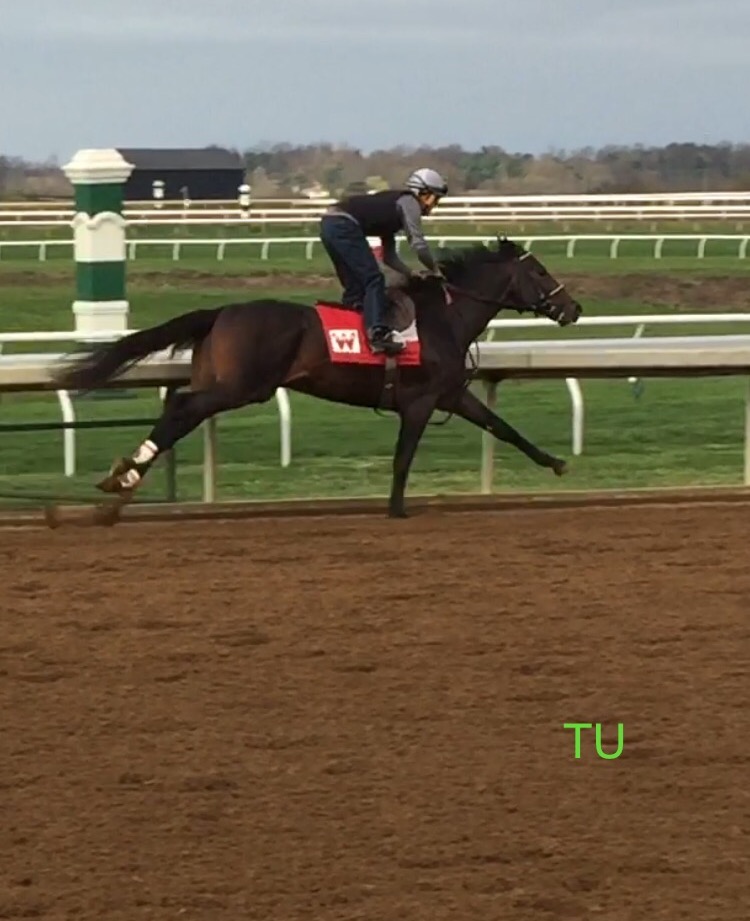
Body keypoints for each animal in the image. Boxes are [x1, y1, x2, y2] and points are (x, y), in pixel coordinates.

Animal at [54, 237, 580, 516]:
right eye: (539, 271)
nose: (574, 308)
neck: (443, 318)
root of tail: (222, 310)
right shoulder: (420, 401)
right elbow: (403, 457)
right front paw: (396, 507)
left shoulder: (451, 395)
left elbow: (503, 428)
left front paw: (555, 463)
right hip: (242, 387)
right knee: (183, 408)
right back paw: (125, 474)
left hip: (218, 380)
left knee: (178, 409)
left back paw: (122, 478)